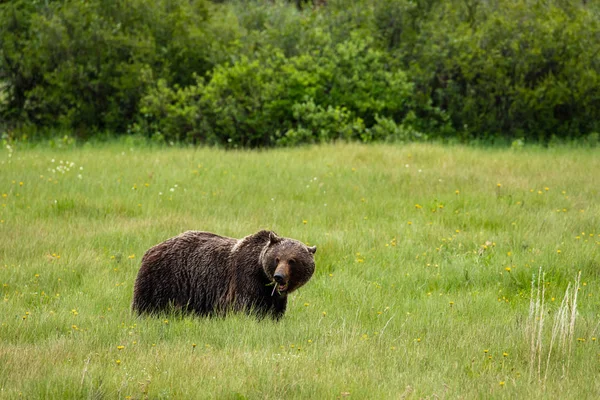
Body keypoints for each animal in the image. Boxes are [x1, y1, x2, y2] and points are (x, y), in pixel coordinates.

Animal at [132, 231, 318, 318]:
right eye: (277, 258)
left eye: (292, 260)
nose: (279, 276)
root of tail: (151, 249)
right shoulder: (245, 279)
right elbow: (245, 307)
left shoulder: (273, 296)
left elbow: (274, 311)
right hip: (163, 279)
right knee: (146, 304)